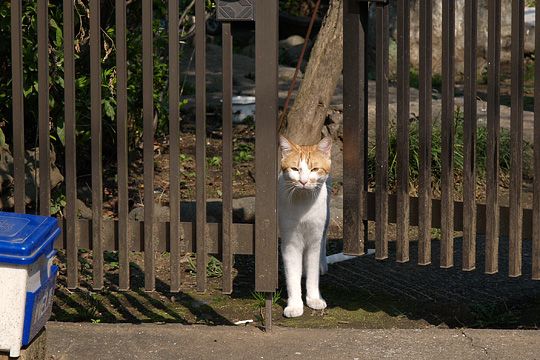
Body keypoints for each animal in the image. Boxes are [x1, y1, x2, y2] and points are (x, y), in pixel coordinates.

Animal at [280, 136, 332, 318]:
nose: (303, 181)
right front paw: (295, 305)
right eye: (295, 169)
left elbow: (312, 276)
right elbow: (292, 277)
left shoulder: (314, 241)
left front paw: (314, 299)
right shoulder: (290, 244)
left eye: (314, 169)